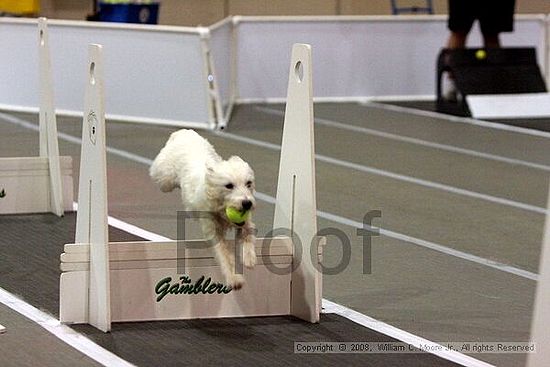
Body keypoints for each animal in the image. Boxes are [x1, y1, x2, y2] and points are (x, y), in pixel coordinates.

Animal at [149, 129, 256, 290]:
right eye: (229, 185)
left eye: (248, 183)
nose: (247, 203)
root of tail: (183, 132)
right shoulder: (212, 229)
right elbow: (224, 254)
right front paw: (234, 278)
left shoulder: (245, 220)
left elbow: (247, 231)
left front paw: (249, 257)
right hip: (164, 179)